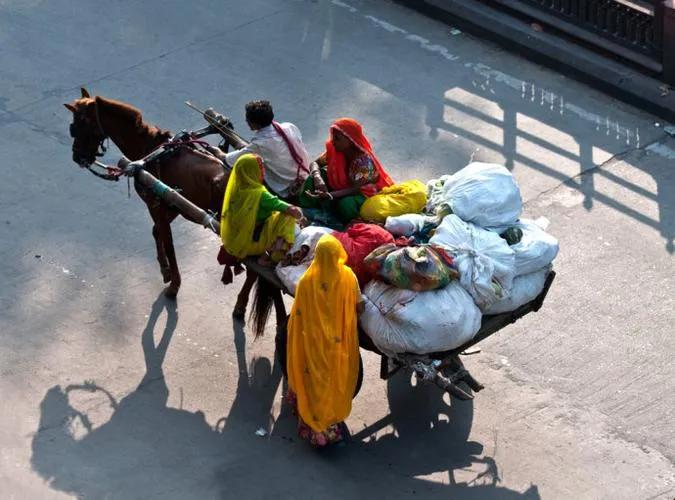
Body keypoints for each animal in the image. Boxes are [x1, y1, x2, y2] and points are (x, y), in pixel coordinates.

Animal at [64, 87, 262, 316]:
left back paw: (240, 304)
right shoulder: (172, 206)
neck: (150, 151)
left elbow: (167, 241)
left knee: (255, 270)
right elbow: (157, 231)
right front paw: (165, 270)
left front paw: (174, 284)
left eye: (79, 125)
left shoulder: (156, 204)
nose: (77, 157)